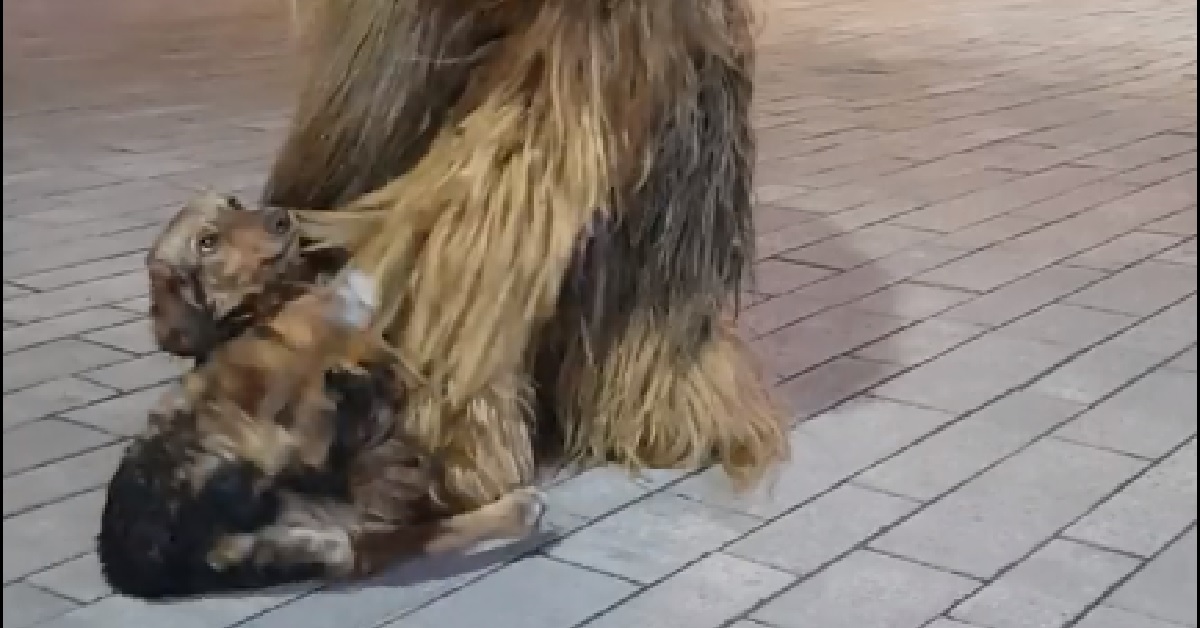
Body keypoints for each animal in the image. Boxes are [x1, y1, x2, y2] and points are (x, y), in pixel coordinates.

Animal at [98, 196, 544, 600]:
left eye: (234, 203)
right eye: (207, 242)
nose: (281, 217)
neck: (262, 308)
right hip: (326, 526)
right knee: (397, 537)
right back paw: (514, 508)